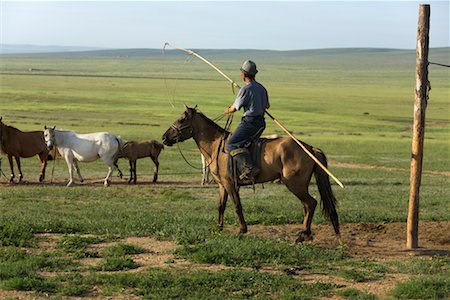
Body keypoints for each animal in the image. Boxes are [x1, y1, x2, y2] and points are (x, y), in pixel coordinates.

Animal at [160, 106, 340, 243]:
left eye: (181, 120)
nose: (164, 137)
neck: (216, 146)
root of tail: (309, 148)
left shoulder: (230, 184)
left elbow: (237, 206)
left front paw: (242, 229)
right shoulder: (222, 185)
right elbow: (221, 206)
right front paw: (218, 227)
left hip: (295, 184)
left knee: (311, 203)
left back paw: (305, 235)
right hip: (299, 186)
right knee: (306, 206)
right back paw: (304, 233)